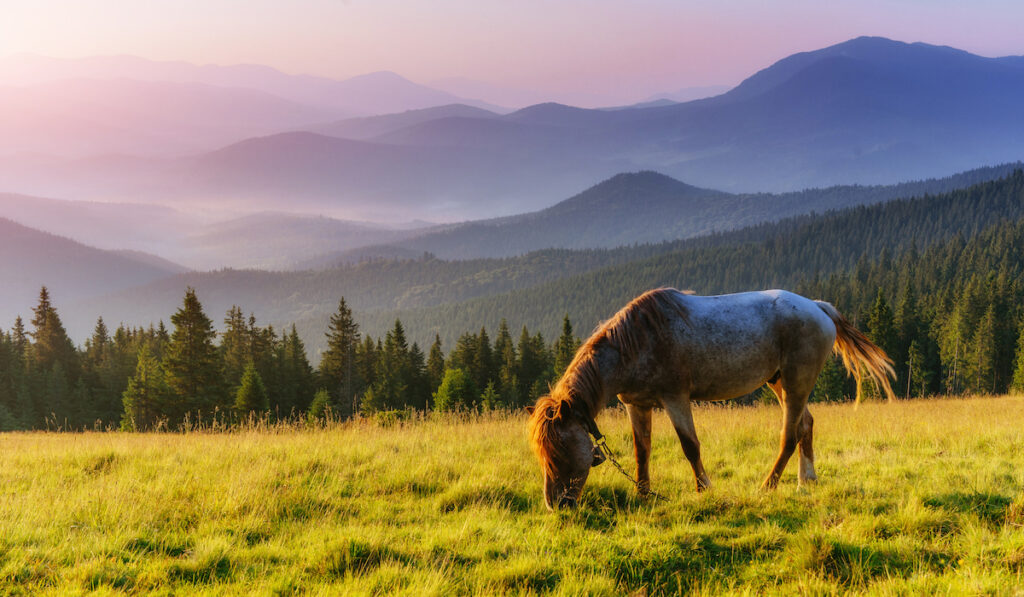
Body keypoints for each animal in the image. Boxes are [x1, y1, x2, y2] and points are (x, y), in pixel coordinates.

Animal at [532, 288, 892, 509]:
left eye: (559, 450)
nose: (556, 505)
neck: (635, 343)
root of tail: (817, 307)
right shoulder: (637, 404)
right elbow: (641, 450)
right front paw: (643, 494)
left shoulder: (676, 398)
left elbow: (690, 446)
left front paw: (704, 489)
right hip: (781, 384)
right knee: (806, 425)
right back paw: (807, 481)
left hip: (796, 384)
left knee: (789, 435)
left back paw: (768, 485)